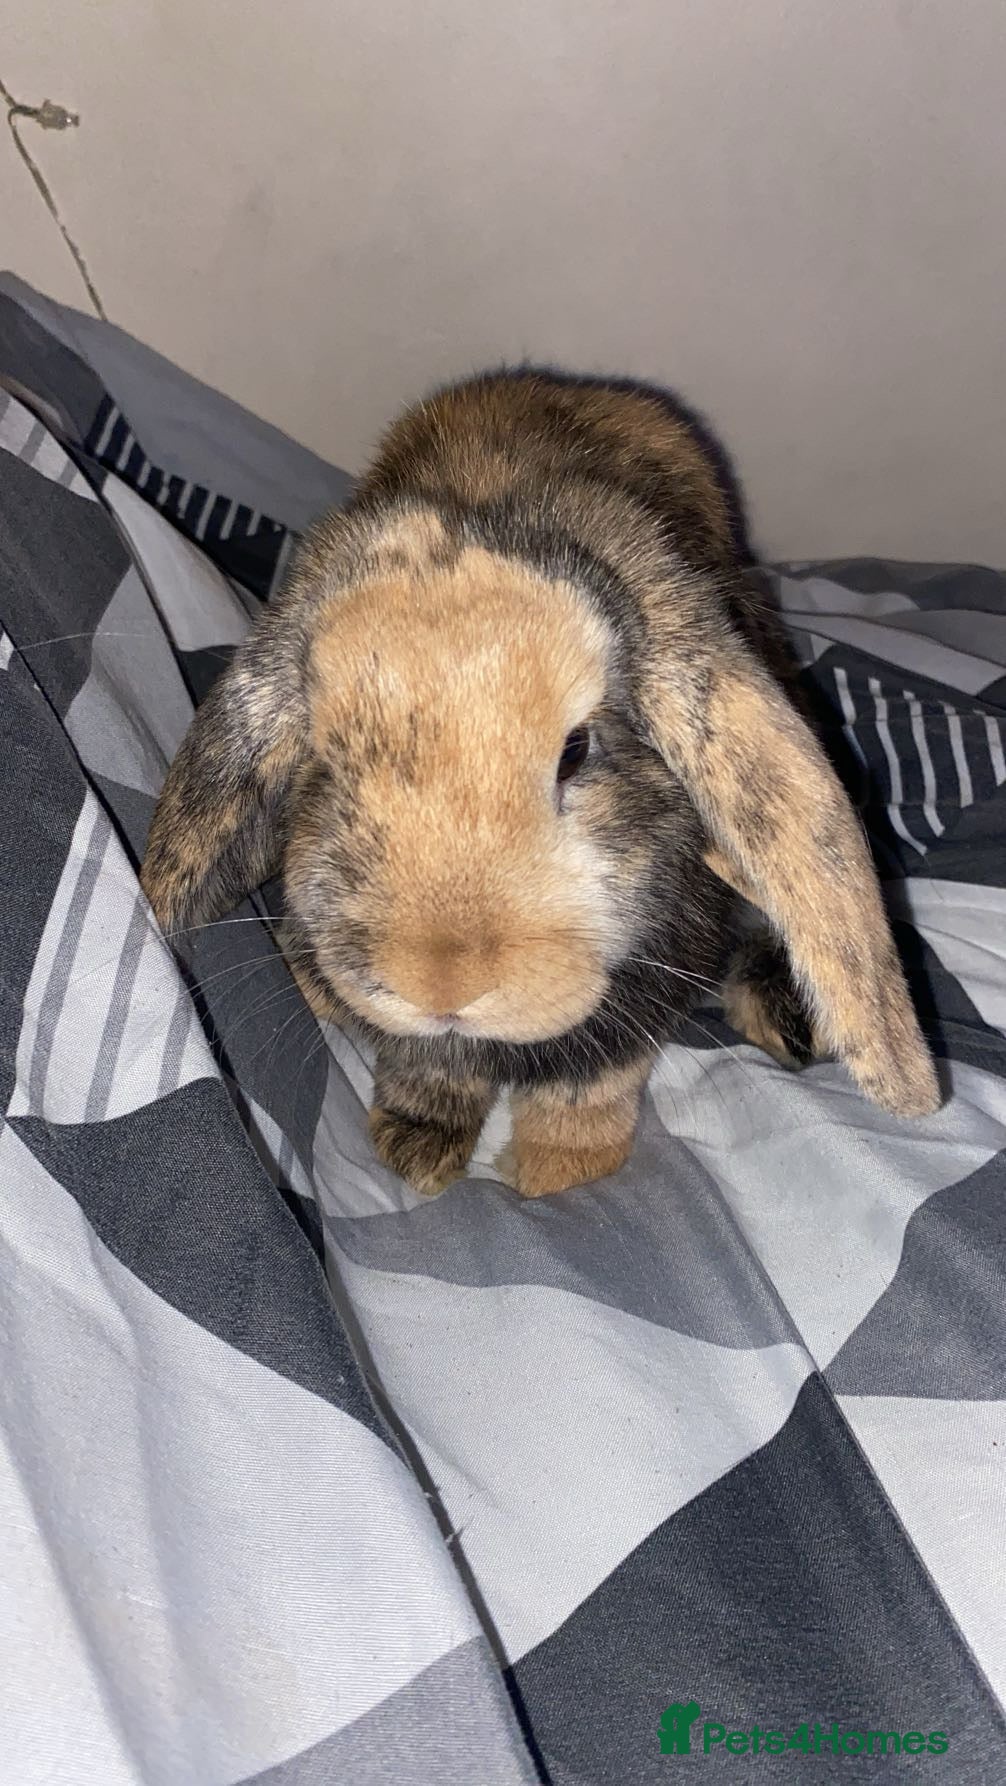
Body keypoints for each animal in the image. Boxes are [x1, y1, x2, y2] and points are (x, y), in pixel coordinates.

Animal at [141, 368, 939, 1197]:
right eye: (326, 760)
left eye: (576, 752)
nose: (442, 986)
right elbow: (429, 1069)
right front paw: (417, 1151)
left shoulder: (640, 996)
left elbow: (589, 1084)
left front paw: (560, 1172)